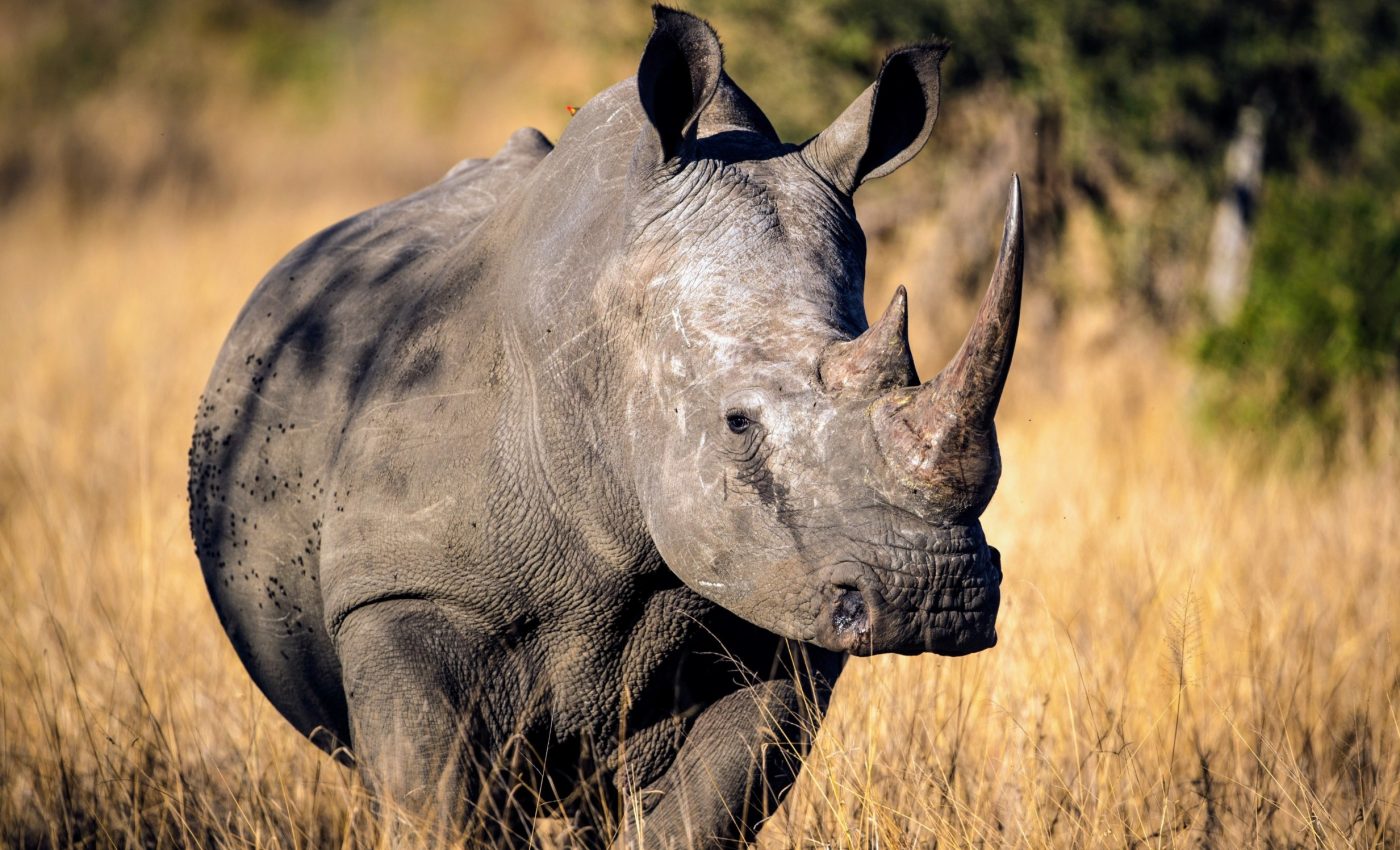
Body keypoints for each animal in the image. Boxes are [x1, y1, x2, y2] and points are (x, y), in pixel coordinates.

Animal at [188, 6, 1024, 847]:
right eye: (736, 423)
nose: (933, 594)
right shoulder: (404, 592)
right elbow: (435, 804)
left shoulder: (779, 603)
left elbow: (703, 815)